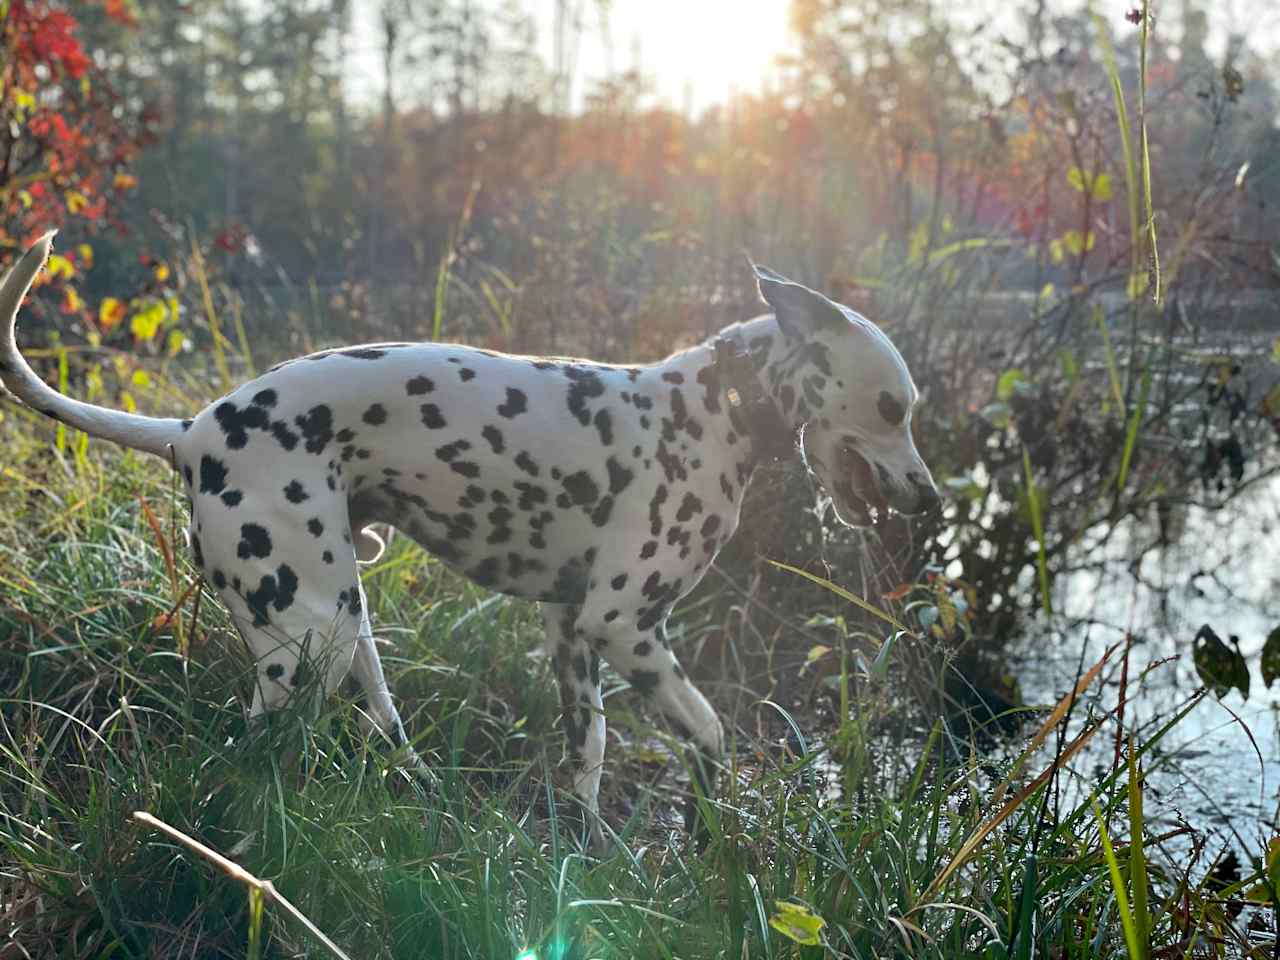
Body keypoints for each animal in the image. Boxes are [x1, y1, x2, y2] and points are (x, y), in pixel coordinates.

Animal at [0, 232, 942, 849]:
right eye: (893, 406)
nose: (931, 500)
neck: (713, 406)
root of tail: (190, 431)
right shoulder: (624, 627)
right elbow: (710, 735)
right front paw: (712, 832)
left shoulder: (572, 636)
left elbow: (589, 753)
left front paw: (592, 850)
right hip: (309, 641)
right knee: (247, 757)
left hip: (347, 624)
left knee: (379, 726)